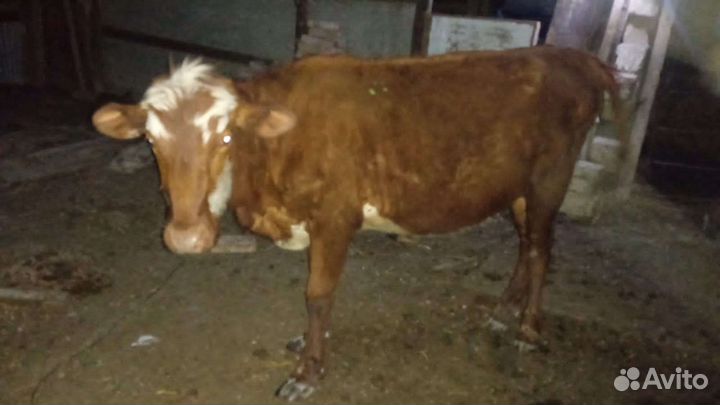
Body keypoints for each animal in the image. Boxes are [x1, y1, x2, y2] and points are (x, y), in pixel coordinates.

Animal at [92, 46, 623, 400]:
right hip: (517, 189)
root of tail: (568, 54)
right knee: (525, 244)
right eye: (151, 140)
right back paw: (503, 309)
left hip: (550, 179)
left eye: (225, 137)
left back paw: (529, 328)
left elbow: (318, 296)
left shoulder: (334, 218)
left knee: (542, 247)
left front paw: (307, 372)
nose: (186, 237)